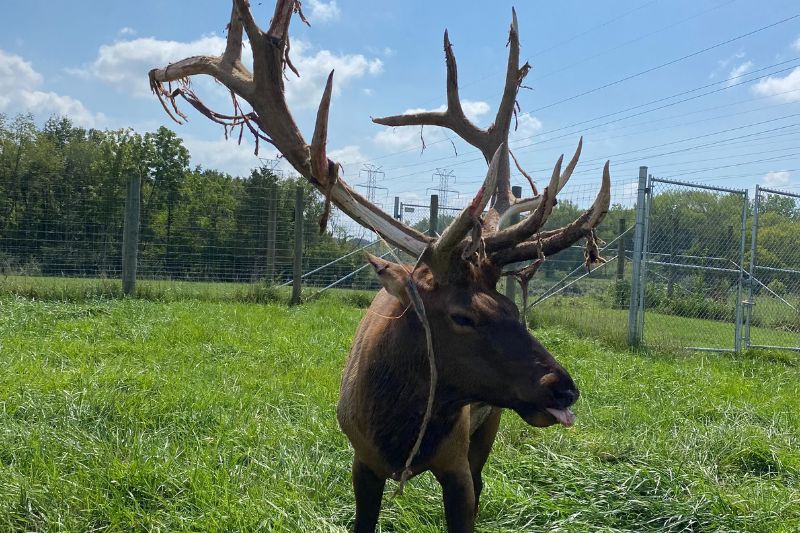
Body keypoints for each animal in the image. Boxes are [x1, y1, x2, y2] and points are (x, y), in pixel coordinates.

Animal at [148, 1, 611, 531]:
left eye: (514, 311)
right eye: (463, 316)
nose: (564, 388)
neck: (397, 434)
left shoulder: (456, 464)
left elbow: (468, 501)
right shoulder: (361, 459)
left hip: (489, 425)